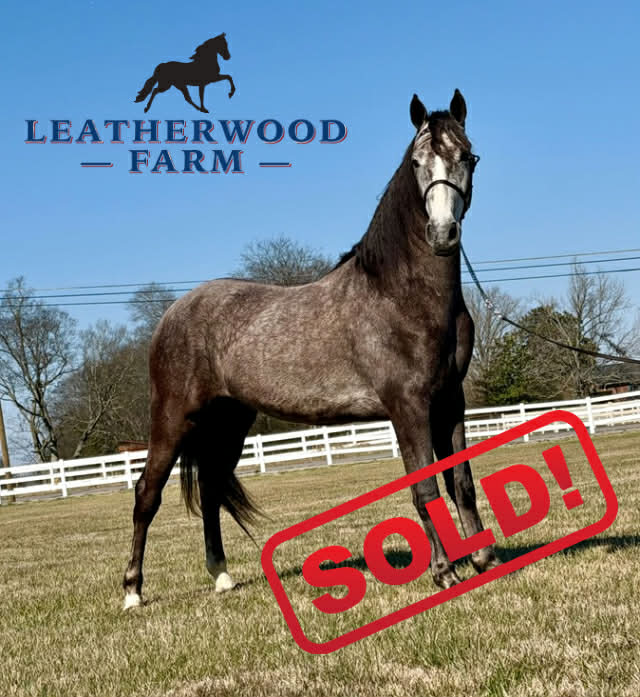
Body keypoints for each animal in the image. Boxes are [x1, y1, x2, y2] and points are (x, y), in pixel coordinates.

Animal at [122, 89, 500, 610]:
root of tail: (174, 313)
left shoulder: (450, 402)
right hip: (174, 418)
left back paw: (221, 576)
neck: (399, 295)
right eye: (417, 161)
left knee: (213, 489)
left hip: (229, 422)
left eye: (468, 157)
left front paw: (483, 559)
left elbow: (459, 481)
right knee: (147, 493)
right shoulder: (408, 406)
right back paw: (133, 592)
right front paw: (445, 572)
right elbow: (425, 486)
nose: (443, 234)